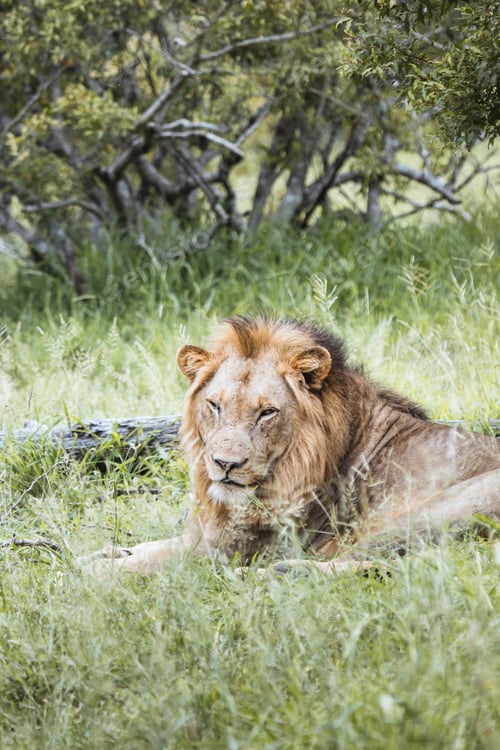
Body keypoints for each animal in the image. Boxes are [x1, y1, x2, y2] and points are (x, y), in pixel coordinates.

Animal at [86, 316, 500, 576]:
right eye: (214, 405)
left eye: (267, 412)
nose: (224, 464)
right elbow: (159, 545)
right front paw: (109, 551)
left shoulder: (236, 548)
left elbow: (160, 562)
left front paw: (98, 570)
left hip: (423, 514)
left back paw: (282, 574)